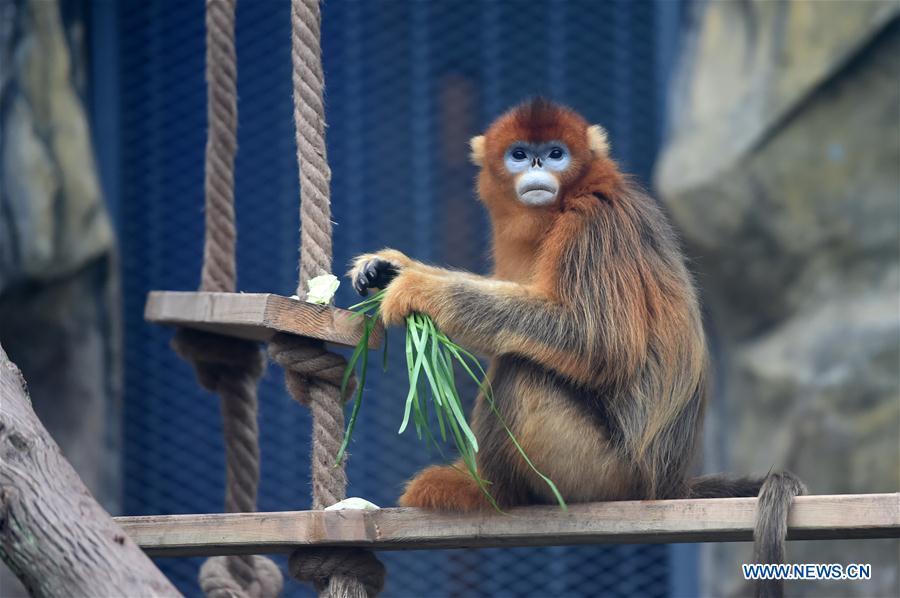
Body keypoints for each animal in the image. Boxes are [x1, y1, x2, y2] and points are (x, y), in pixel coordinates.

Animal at [349, 99, 804, 598]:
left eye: (556, 153)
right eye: (518, 154)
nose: (537, 166)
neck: (567, 201)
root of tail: (665, 485)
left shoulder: (593, 223)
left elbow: (595, 340)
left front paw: (417, 288)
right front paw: (389, 267)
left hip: (604, 473)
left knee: (523, 371)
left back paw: (489, 492)